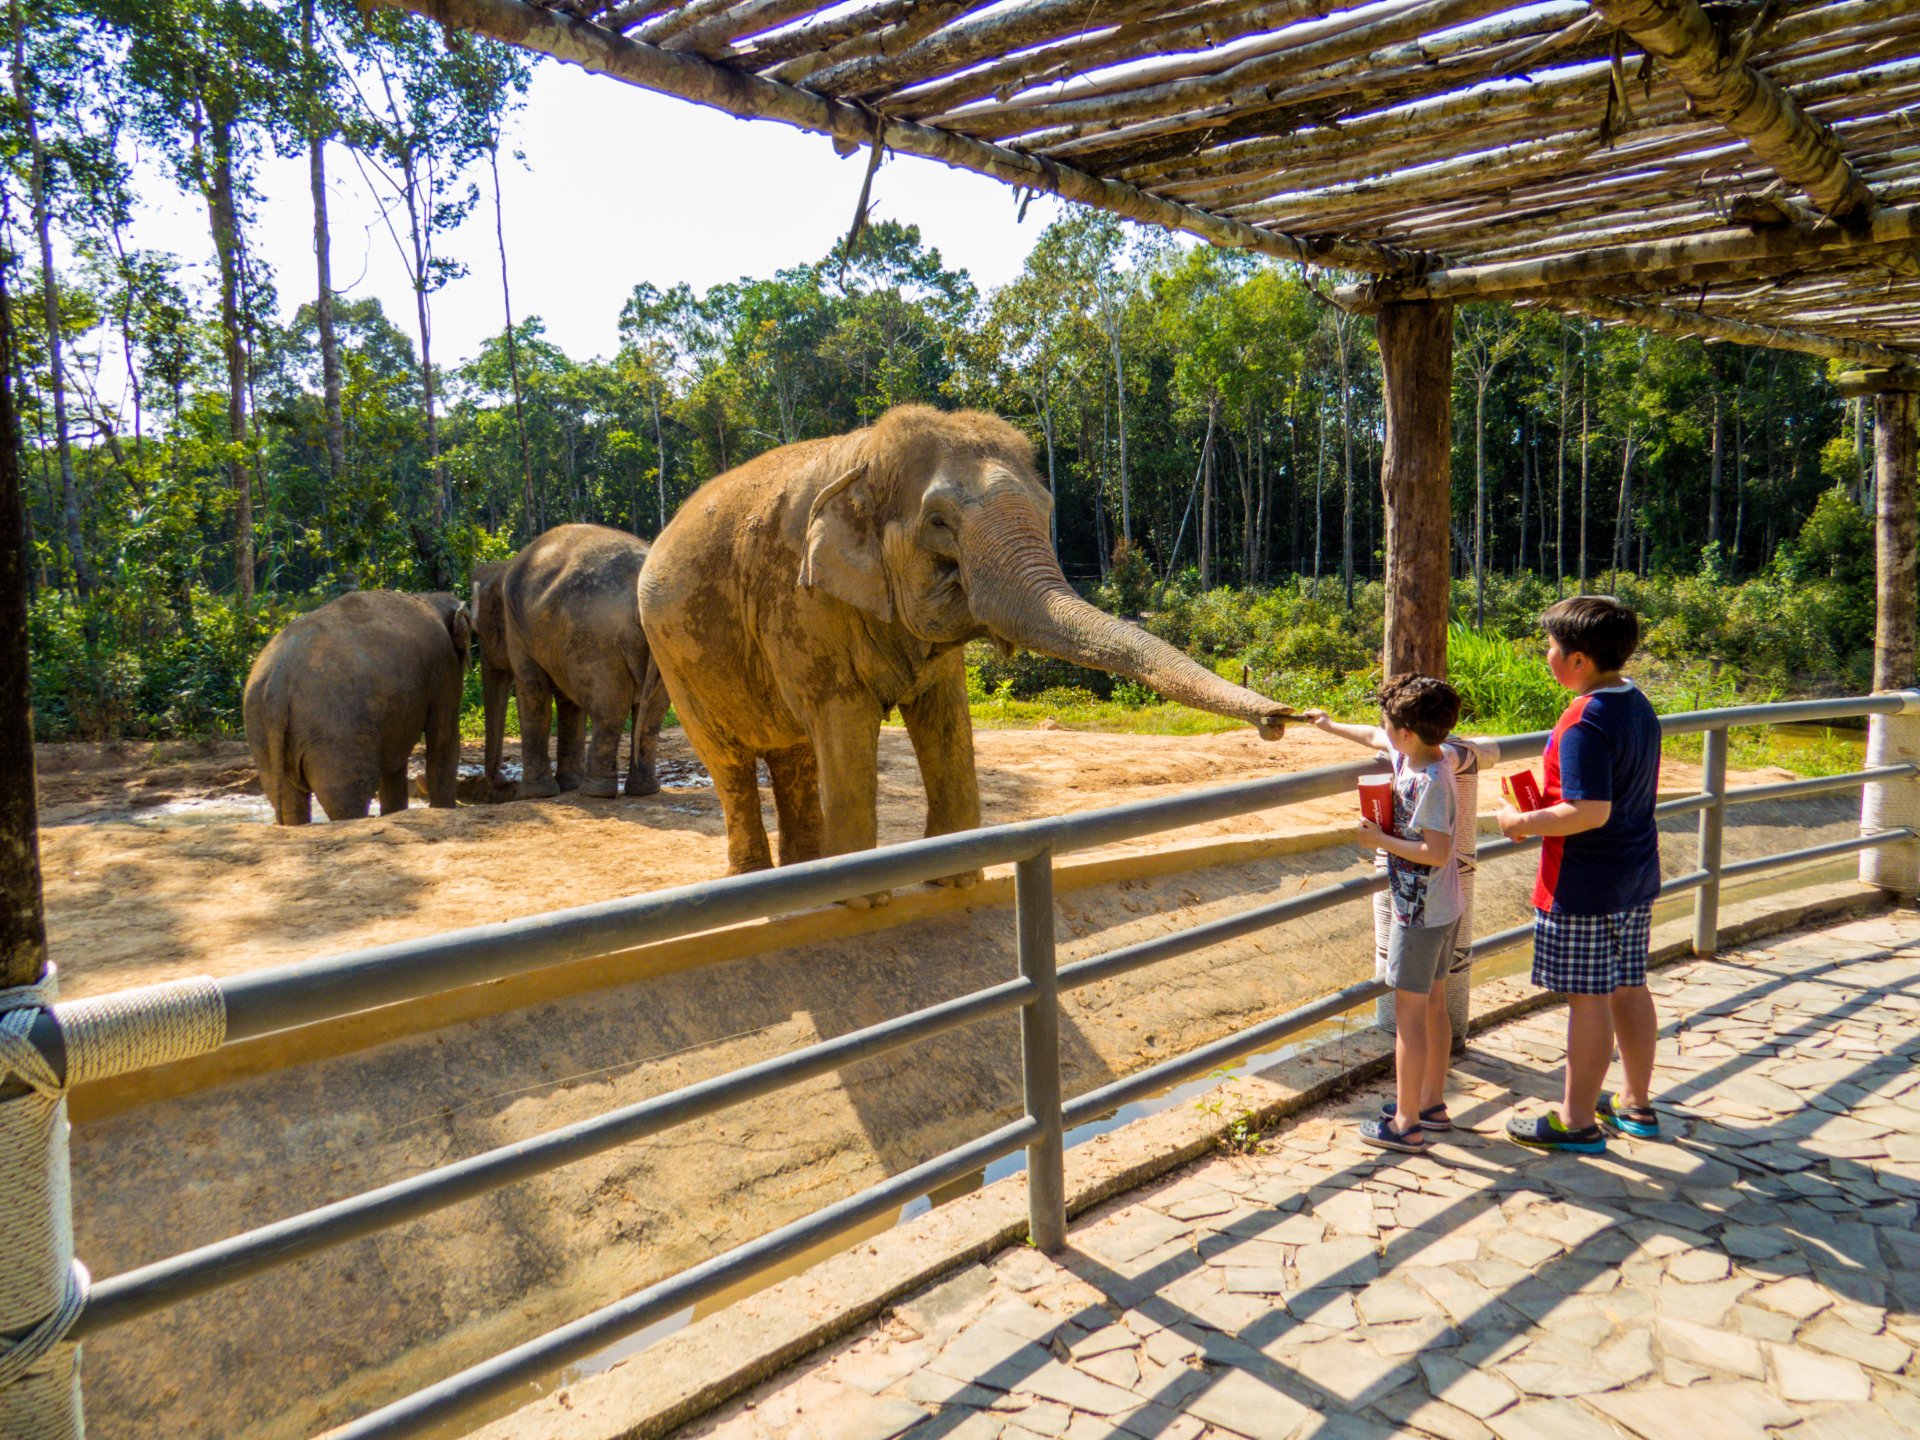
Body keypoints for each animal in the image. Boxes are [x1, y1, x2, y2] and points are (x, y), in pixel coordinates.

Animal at [244, 589, 471, 824]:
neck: (428, 598)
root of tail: (278, 683)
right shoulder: (445, 666)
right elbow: (443, 737)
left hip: (260, 730)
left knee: (289, 802)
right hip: (337, 734)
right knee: (346, 801)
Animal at [475, 524, 668, 800]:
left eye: (479, 632)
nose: (499, 781)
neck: (502, 569)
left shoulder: (517, 630)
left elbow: (533, 693)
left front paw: (534, 795)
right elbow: (568, 704)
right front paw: (567, 785)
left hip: (596, 638)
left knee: (608, 709)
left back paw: (594, 792)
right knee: (653, 710)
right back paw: (642, 790)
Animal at [638, 405, 1290, 898]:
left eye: (1048, 511)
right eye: (938, 522)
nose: (1281, 718)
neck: (863, 456)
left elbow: (945, 713)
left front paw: (951, 884)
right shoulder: (798, 600)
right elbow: (844, 718)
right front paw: (861, 902)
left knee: (794, 754)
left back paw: (799, 881)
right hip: (674, 660)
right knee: (730, 761)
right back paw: (764, 885)